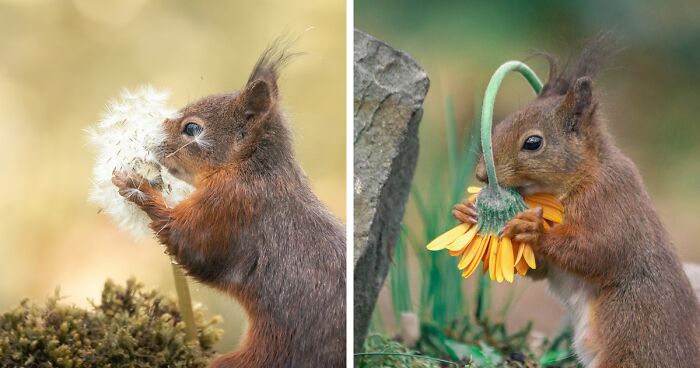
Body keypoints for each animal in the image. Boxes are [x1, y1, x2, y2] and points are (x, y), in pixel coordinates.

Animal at [110, 46, 348, 368]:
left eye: (192, 128)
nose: (149, 137)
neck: (251, 169)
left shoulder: (229, 208)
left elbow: (191, 244)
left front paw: (137, 187)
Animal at [454, 36, 700, 366]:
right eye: (501, 124)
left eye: (533, 143)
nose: (482, 174)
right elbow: (539, 270)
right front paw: (464, 211)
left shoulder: (612, 204)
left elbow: (598, 250)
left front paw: (535, 230)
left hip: (633, 349)